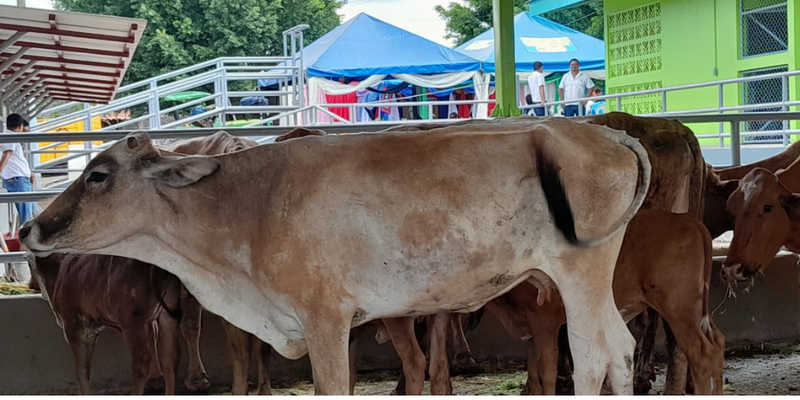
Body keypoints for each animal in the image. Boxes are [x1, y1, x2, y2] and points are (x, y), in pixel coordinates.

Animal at [26, 253, 183, 394]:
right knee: (170, 360)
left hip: (133, 320)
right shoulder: (91, 331)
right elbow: (86, 370)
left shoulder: (72, 326)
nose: (30, 284)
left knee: (141, 363)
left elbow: (80, 372)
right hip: (167, 315)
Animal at [488, 211, 724, 396]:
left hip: (679, 306)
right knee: (718, 342)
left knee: (701, 351)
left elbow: (546, 370)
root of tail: (685, 218)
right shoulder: (529, 329)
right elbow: (533, 371)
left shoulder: (543, 320)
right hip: (696, 308)